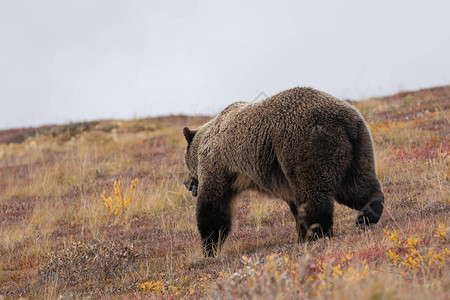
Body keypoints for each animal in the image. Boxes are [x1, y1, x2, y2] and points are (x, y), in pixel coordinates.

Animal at [182, 87, 384, 258]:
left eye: (186, 164)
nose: (187, 183)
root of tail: (344, 119)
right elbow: (294, 203)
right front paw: (300, 234)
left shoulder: (219, 166)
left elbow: (213, 206)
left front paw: (209, 248)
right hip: (359, 144)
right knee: (355, 184)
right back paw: (369, 211)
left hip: (304, 145)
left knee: (313, 193)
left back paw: (318, 233)